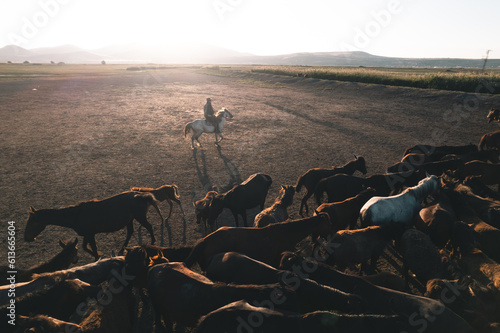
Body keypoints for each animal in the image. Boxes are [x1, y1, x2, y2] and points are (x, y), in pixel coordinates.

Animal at [24, 189, 164, 260]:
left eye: (31, 222)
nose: (26, 238)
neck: (75, 215)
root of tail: (141, 196)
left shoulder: (90, 234)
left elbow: (93, 248)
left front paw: (97, 257)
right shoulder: (87, 234)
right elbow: (85, 247)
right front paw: (98, 255)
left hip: (139, 217)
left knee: (149, 227)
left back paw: (153, 241)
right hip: (130, 219)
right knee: (130, 232)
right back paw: (122, 248)